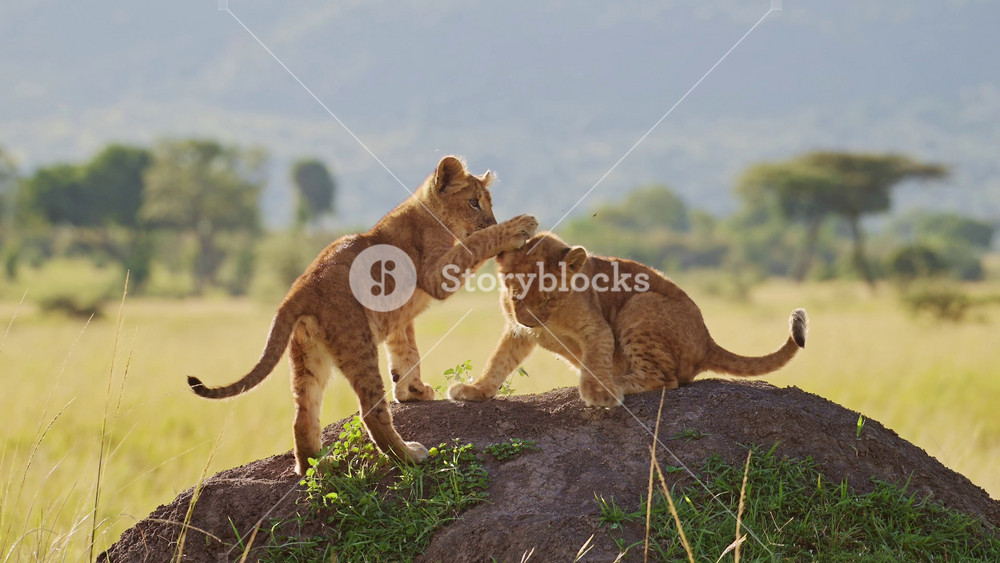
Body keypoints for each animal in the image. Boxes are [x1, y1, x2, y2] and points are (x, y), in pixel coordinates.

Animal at [187, 156, 538, 474]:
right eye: (474, 203)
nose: (492, 221)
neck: (429, 211)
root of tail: (298, 290)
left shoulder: (399, 316)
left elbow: (407, 352)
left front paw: (412, 391)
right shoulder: (438, 275)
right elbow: (476, 243)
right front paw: (517, 227)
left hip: (307, 356)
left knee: (302, 416)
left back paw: (319, 468)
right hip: (357, 341)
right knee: (370, 411)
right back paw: (407, 455)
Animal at [448, 231, 807, 407]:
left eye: (548, 298)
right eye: (515, 296)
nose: (530, 322)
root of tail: (708, 341)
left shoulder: (598, 329)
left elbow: (595, 358)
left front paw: (598, 394)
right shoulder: (518, 332)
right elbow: (499, 361)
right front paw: (476, 390)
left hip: (639, 305)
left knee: (665, 380)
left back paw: (616, 383)